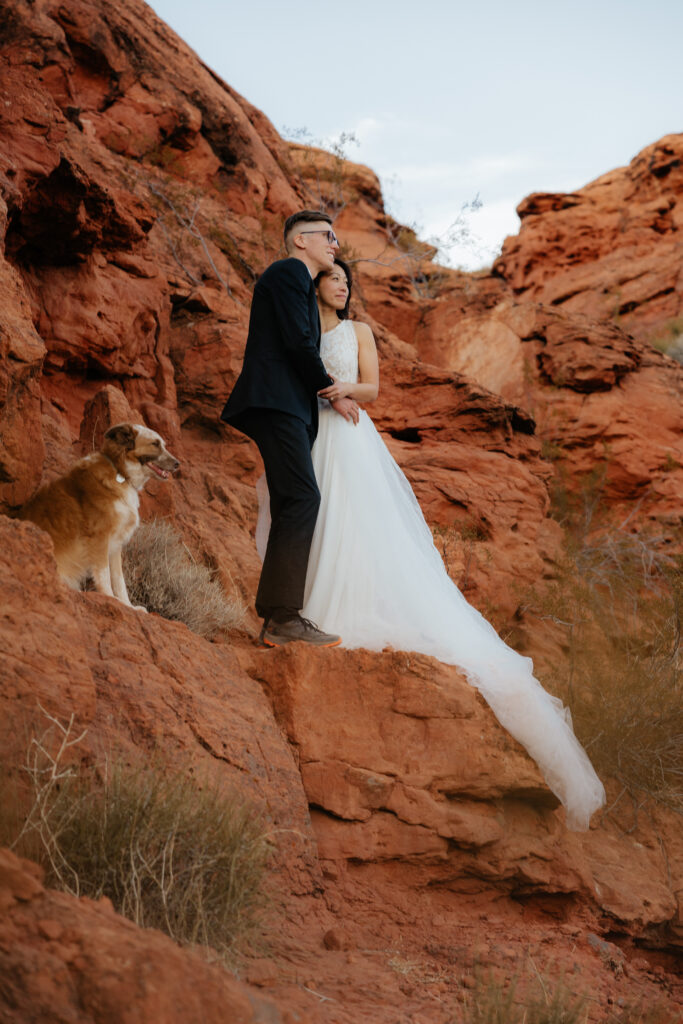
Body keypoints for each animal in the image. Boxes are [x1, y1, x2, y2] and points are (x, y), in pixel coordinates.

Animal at [20, 421, 180, 606]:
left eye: (163, 445)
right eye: (155, 444)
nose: (178, 464)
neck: (121, 473)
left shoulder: (116, 544)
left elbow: (119, 580)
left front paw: (128, 606)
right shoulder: (99, 538)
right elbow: (105, 576)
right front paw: (110, 599)